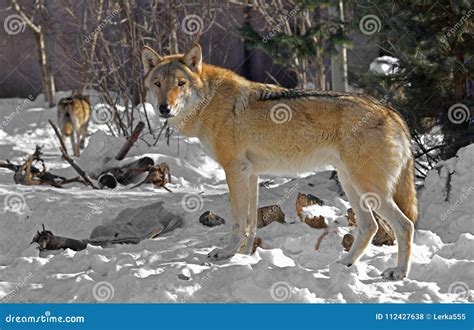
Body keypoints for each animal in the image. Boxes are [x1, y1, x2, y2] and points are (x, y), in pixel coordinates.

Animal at [142, 43, 418, 280]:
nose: (164, 108)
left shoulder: (234, 171)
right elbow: (251, 224)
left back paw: (398, 273)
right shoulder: (250, 174)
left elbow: (238, 222)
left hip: (369, 189)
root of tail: (392, 113)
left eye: (181, 84)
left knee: (404, 225)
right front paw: (244, 257)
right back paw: (344, 264)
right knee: (370, 227)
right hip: (351, 184)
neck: (209, 101)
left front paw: (227, 254)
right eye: (157, 84)